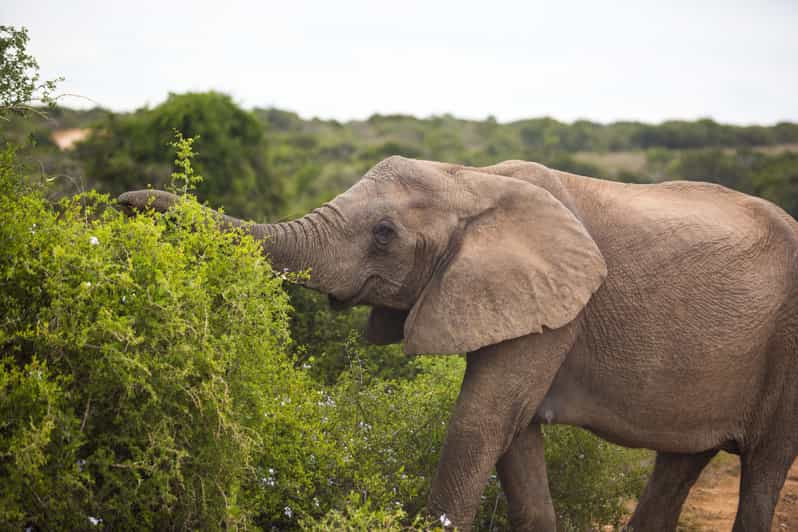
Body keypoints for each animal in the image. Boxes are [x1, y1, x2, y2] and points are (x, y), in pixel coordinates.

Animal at [119, 156, 798, 528]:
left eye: (385, 234)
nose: (125, 203)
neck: (473, 182)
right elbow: (513, 439)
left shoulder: (559, 308)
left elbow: (480, 422)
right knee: (681, 463)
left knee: (764, 472)